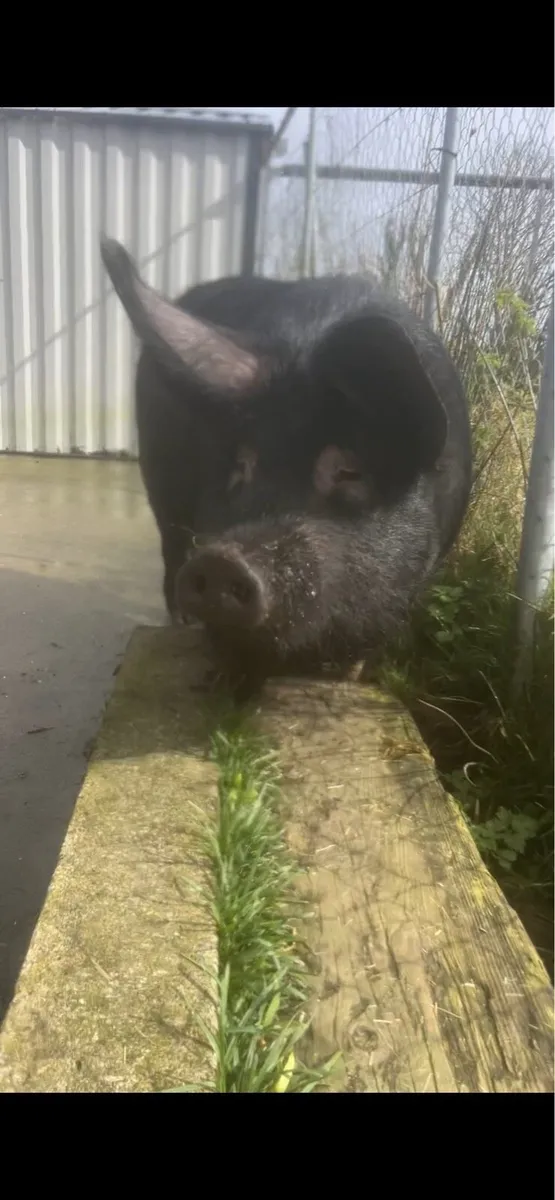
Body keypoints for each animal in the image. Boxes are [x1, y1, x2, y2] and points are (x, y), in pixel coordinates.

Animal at [100, 236, 472, 690]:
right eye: (241, 466)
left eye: (347, 470)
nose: (222, 559)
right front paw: (224, 680)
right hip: (162, 495)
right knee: (171, 556)